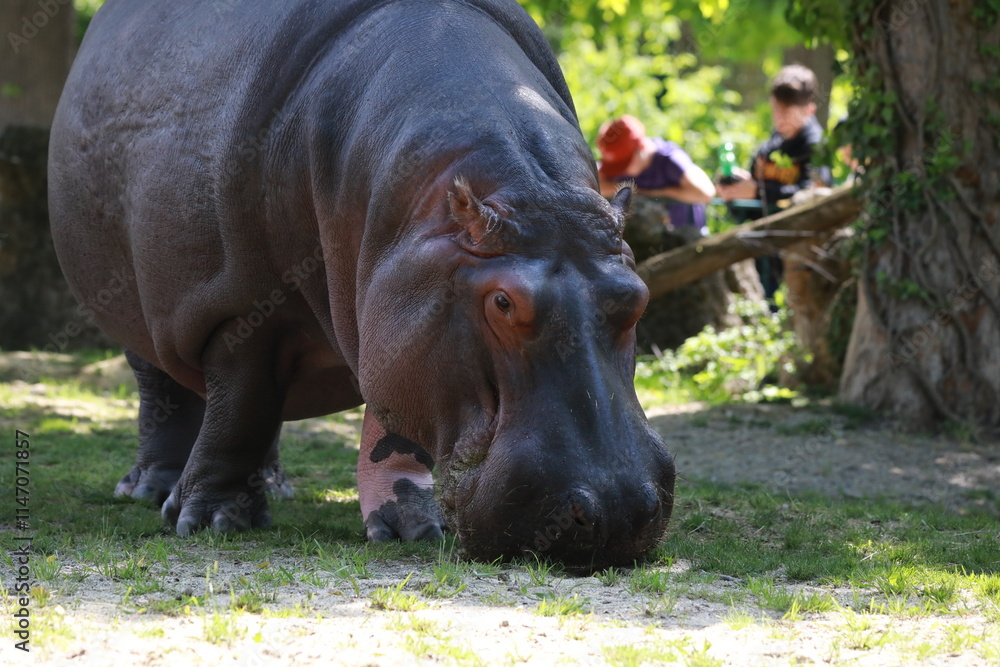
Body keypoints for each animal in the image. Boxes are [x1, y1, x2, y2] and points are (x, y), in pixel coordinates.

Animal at [48, 0, 675, 569]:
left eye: (638, 298)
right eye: (502, 301)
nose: (616, 513)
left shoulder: (401, 312)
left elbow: (391, 428)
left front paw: (414, 529)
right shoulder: (242, 309)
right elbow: (239, 408)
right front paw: (207, 521)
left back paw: (274, 487)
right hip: (141, 313)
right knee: (170, 394)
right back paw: (150, 489)